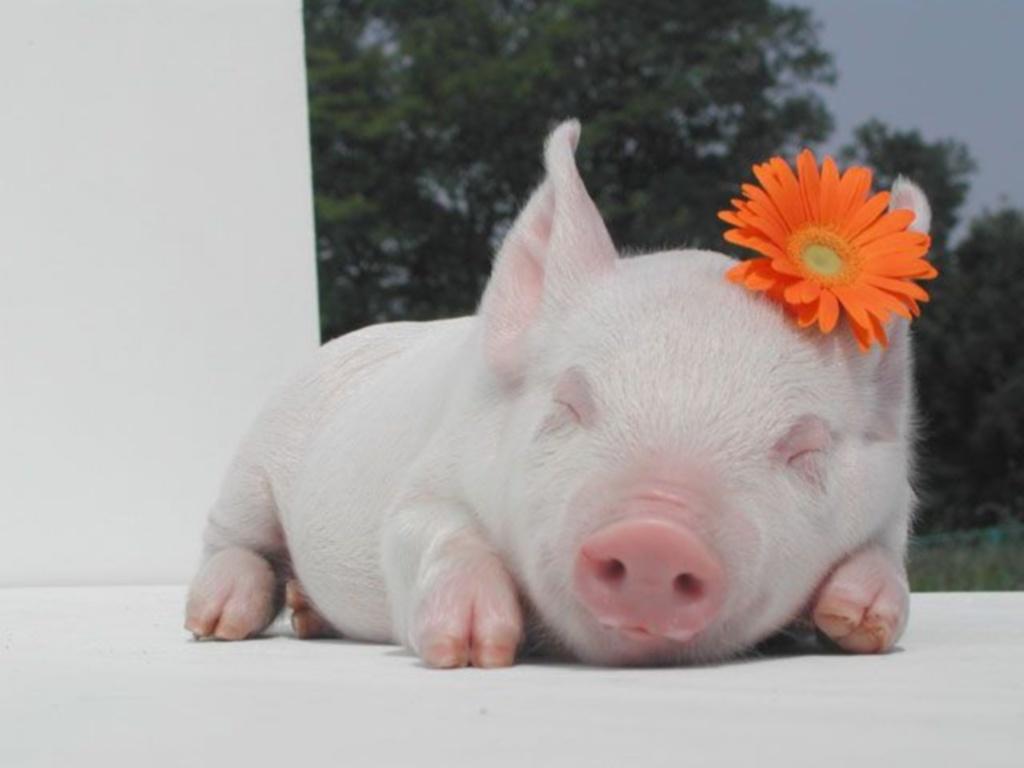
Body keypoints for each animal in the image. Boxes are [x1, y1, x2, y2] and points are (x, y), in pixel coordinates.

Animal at [185, 120, 926, 667]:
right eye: (569, 404)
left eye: (804, 449)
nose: (656, 538)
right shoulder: (422, 484)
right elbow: (432, 531)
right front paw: (473, 648)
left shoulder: (893, 511)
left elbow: (885, 565)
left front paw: (855, 620)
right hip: (252, 465)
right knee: (233, 539)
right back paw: (217, 620)